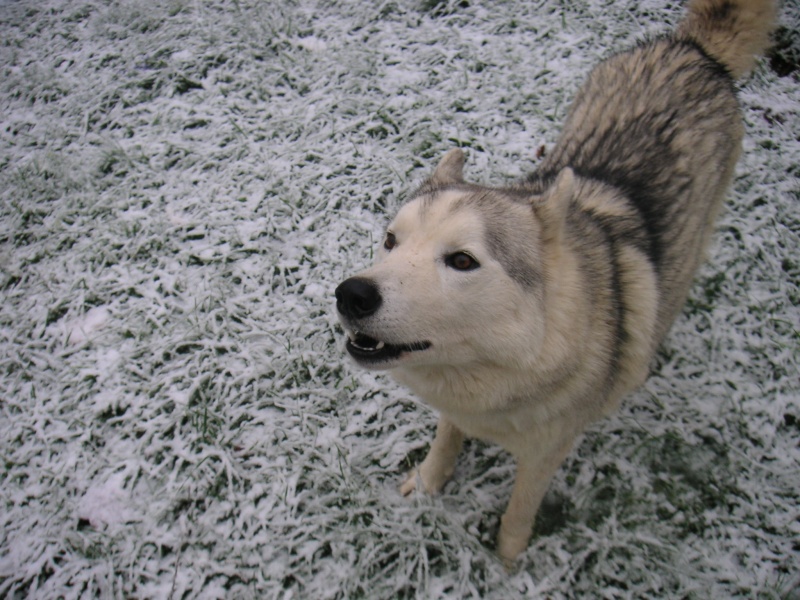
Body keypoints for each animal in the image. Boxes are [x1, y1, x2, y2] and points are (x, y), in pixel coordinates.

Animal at [332, 0, 776, 564]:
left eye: (461, 261)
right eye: (391, 241)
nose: (351, 294)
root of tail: (690, 49)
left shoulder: (547, 453)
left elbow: (519, 510)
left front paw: (506, 563)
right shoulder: (458, 409)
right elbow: (445, 439)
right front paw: (429, 483)